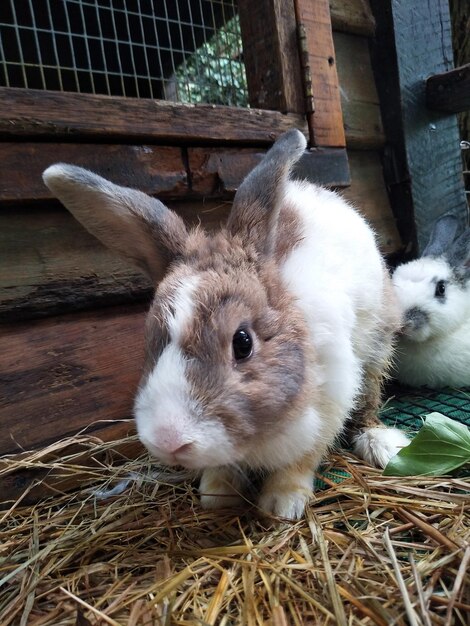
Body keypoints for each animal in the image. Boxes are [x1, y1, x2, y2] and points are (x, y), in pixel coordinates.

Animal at [42, 130, 410, 516]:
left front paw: (282, 503)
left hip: (377, 348)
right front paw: (216, 494)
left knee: (368, 403)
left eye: (243, 342)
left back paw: (382, 445)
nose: (169, 440)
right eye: (150, 340)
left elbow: (302, 459)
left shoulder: (329, 402)